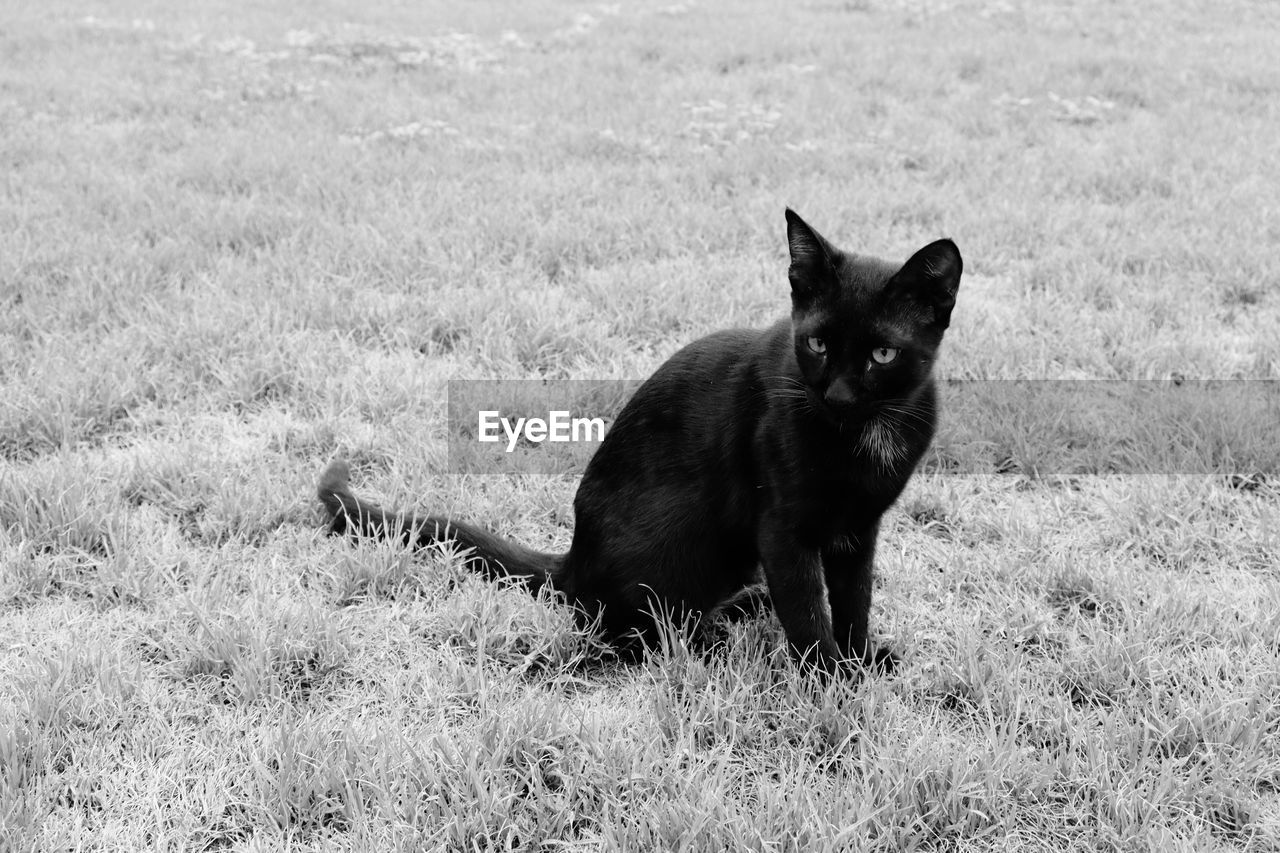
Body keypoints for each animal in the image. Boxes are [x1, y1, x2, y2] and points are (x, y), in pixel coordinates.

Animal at [320, 208, 962, 676]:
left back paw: (744, 606)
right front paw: (831, 683)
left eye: (883, 354)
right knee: (625, 630)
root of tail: (573, 561)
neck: (860, 439)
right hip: (682, 542)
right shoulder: (784, 526)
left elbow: (854, 599)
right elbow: (807, 611)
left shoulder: (858, 529)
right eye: (819, 344)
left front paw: (861, 659)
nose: (838, 395)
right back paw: (706, 641)